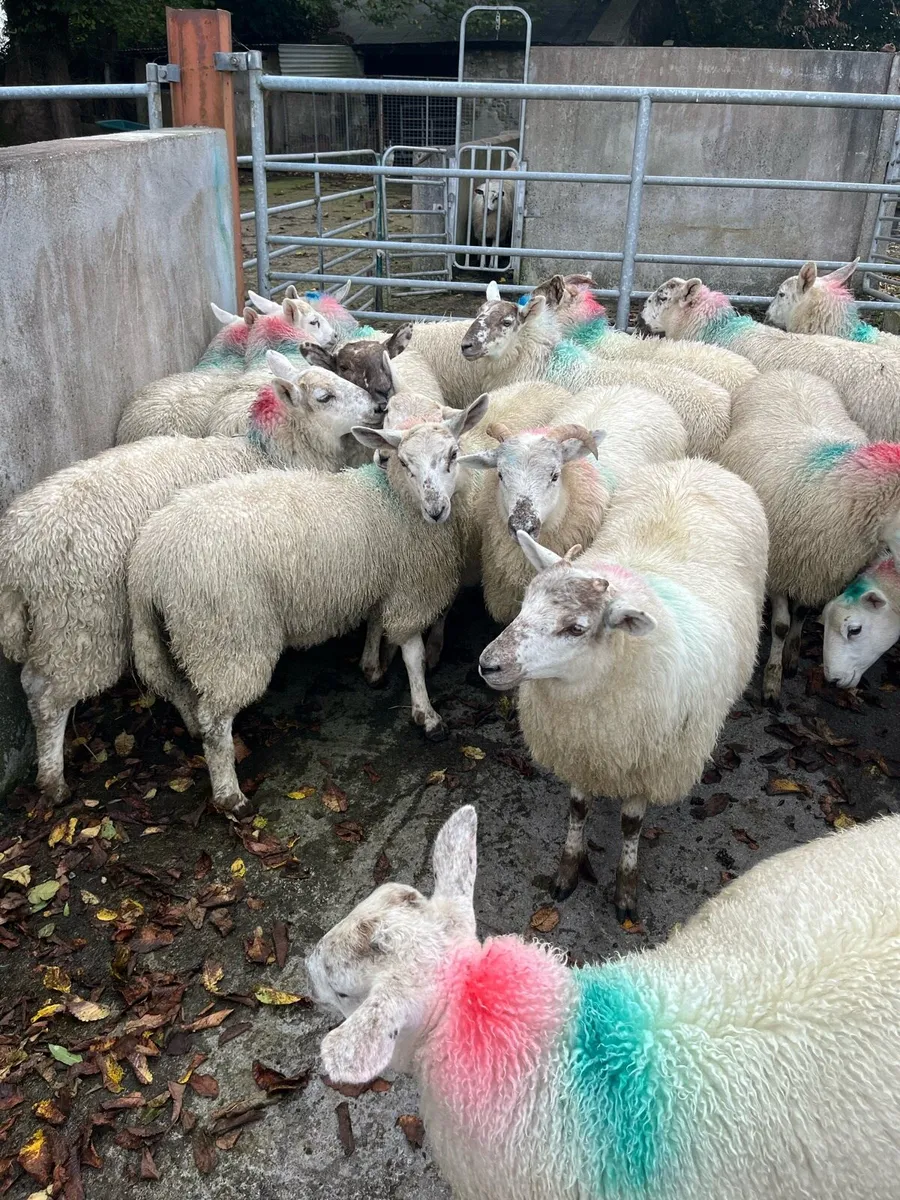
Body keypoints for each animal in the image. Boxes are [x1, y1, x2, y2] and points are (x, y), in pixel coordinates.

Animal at [0, 356, 381, 807]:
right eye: (325, 396)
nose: (378, 407)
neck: (266, 455)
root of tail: (15, 559)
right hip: (80, 622)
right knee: (49, 696)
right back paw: (53, 780)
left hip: (76, 624)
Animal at [126, 395, 490, 817]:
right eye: (404, 462)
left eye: (453, 454)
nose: (436, 509)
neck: (394, 502)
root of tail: (150, 559)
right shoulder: (410, 589)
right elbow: (412, 654)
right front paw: (427, 716)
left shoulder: (379, 577)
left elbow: (374, 623)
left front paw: (372, 666)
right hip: (229, 632)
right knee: (215, 717)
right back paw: (231, 795)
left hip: (178, 630)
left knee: (179, 688)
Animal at [478, 457, 768, 917]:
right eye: (525, 605)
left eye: (576, 628)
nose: (488, 664)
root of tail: (700, 464)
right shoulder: (579, 748)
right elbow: (578, 807)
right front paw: (568, 869)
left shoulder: (649, 764)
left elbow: (631, 824)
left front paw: (626, 888)